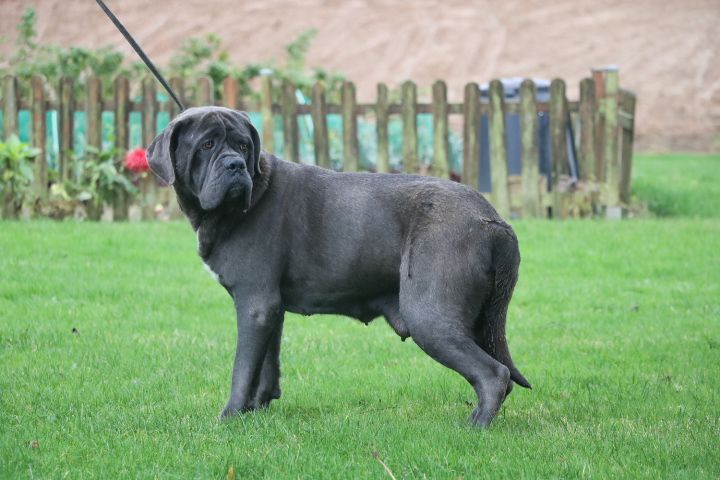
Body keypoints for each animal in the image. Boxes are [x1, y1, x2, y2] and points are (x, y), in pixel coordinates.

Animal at [148, 106, 528, 428]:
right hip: (477, 320)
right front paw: (257, 410)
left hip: (430, 316)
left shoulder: (254, 303)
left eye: (243, 145)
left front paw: (229, 417)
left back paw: (476, 425)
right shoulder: (270, 308)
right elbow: (266, 364)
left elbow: (242, 369)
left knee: (494, 374)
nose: (236, 166)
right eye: (207, 144)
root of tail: (494, 221)